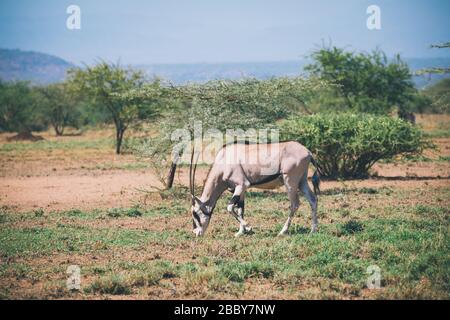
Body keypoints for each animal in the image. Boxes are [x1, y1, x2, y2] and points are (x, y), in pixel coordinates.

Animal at [188, 141, 322, 236]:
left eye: (195, 213)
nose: (196, 233)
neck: (224, 160)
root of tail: (308, 152)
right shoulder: (240, 190)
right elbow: (240, 209)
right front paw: (240, 232)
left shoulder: (242, 185)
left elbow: (230, 207)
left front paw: (248, 227)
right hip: (302, 182)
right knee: (313, 199)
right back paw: (313, 230)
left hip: (290, 182)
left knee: (295, 204)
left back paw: (283, 231)